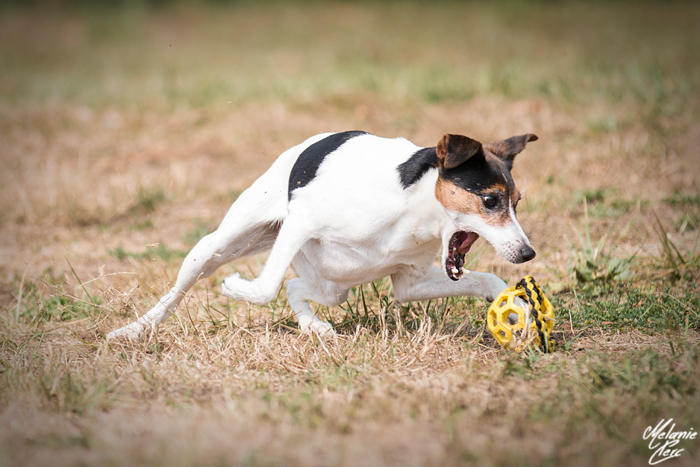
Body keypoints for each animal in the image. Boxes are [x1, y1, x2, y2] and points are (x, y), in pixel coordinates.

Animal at [107, 131, 537, 340]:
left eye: (517, 202)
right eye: (489, 200)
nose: (527, 253)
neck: (414, 209)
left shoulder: (410, 282)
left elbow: (490, 280)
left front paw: (519, 311)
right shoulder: (302, 220)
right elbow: (264, 288)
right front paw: (235, 287)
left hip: (335, 286)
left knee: (296, 287)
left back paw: (313, 326)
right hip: (216, 247)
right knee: (177, 293)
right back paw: (134, 330)